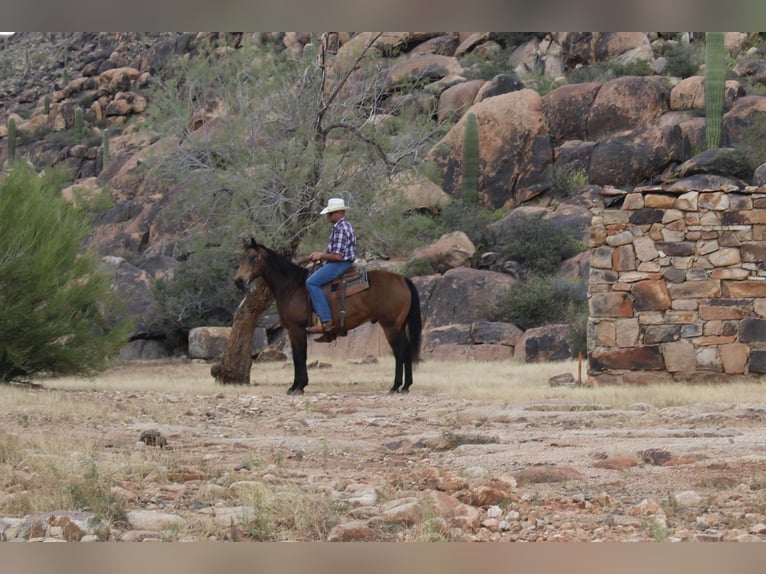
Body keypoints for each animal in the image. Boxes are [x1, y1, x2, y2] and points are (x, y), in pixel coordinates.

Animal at [236, 238, 426, 396]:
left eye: (252, 258)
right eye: (241, 258)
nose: (238, 281)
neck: (292, 287)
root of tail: (403, 279)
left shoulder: (296, 329)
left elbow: (299, 357)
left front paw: (297, 387)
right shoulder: (295, 330)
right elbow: (299, 357)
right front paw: (298, 385)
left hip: (390, 326)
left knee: (399, 352)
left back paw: (396, 386)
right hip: (399, 326)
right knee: (406, 350)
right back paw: (406, 386)